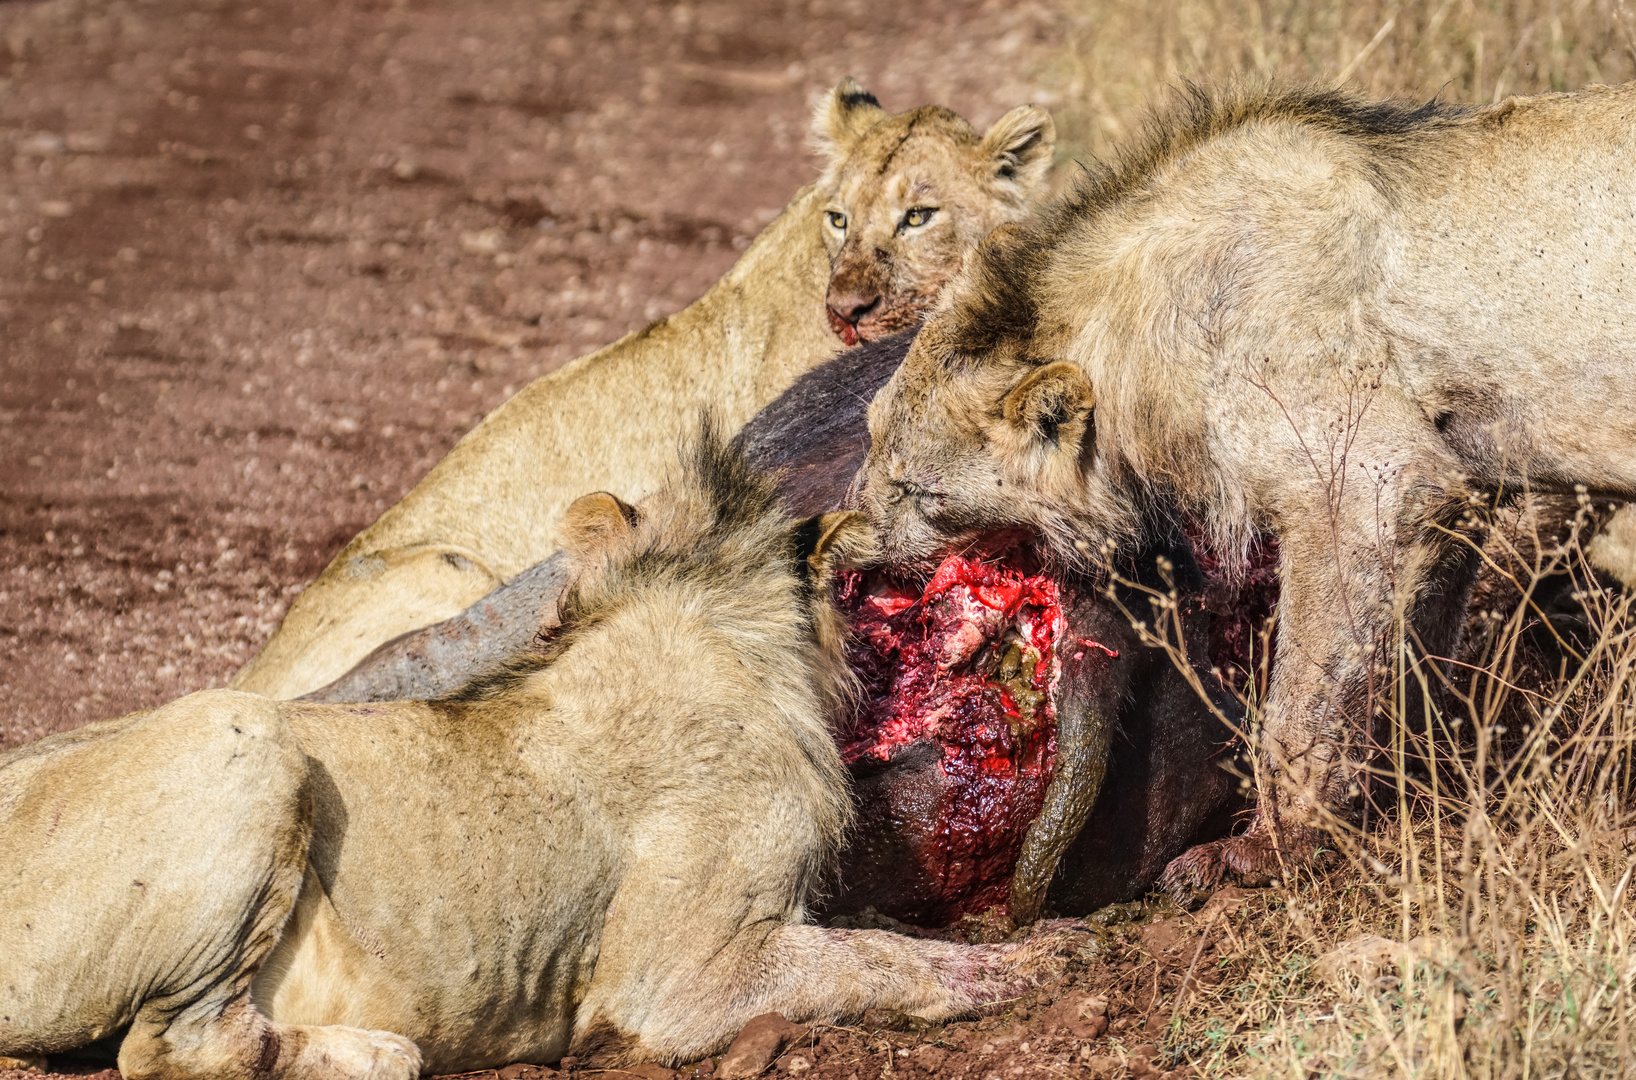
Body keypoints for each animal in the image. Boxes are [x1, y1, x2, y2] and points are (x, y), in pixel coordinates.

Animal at [0, 425, 1073, 1080]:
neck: (705, 629)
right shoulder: (672, 987)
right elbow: (869, 959)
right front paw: (1014, 969)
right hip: (253, 742)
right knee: (179, 1048)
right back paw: (379, 1053)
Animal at [857, 84, 1636, 909]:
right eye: (867, 438)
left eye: (916, 490)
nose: (848, 541)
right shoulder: (1454, 488)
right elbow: (1409, 659)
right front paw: (1418, 790)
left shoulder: (1368, 482)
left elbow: (1301, 696)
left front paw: (1267, 849)